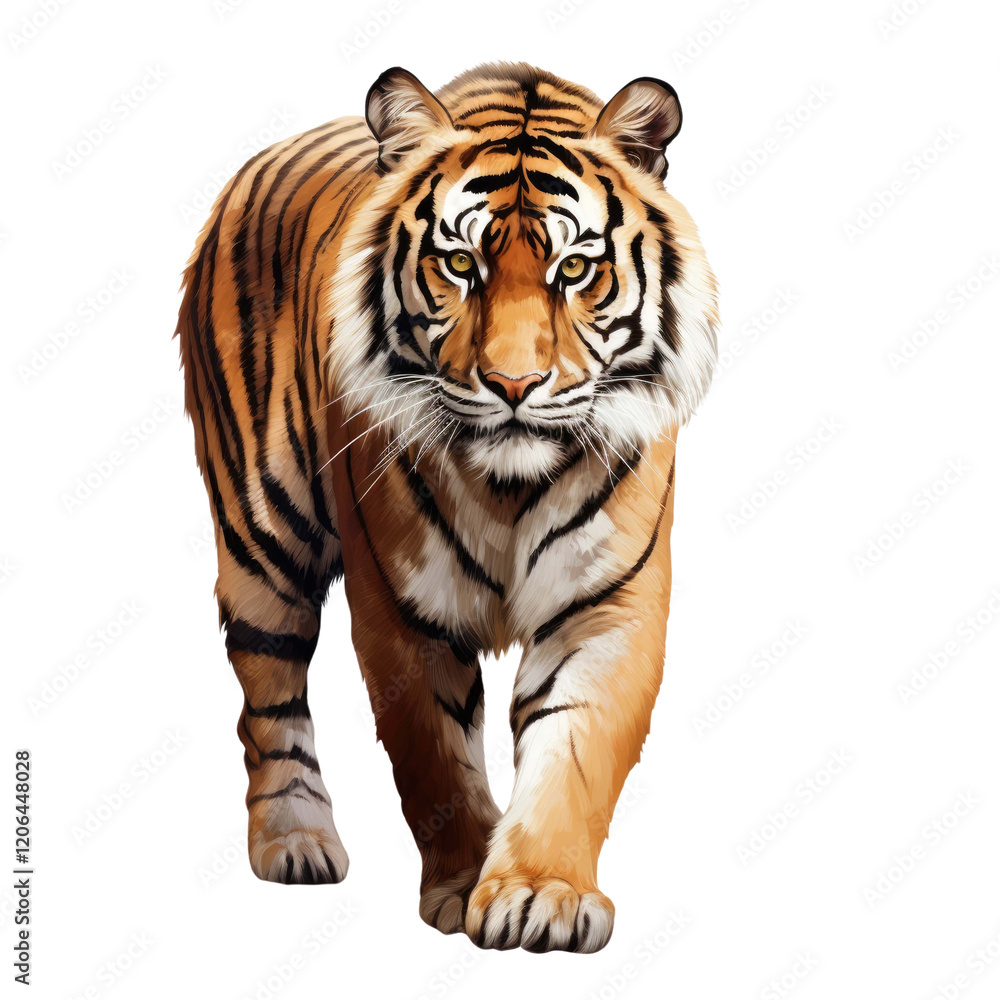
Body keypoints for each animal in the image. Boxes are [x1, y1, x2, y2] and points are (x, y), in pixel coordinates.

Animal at [176, 61, 717, 953]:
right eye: (461, 263)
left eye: (575, 271)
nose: (513, 385)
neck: (509, 487)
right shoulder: (401, 610)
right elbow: (434, 758)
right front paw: (463, 884)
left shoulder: (609, 604)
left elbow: (576, 748)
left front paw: (538, 894)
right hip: (263, 531)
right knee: (268, 689)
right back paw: (294, 842)